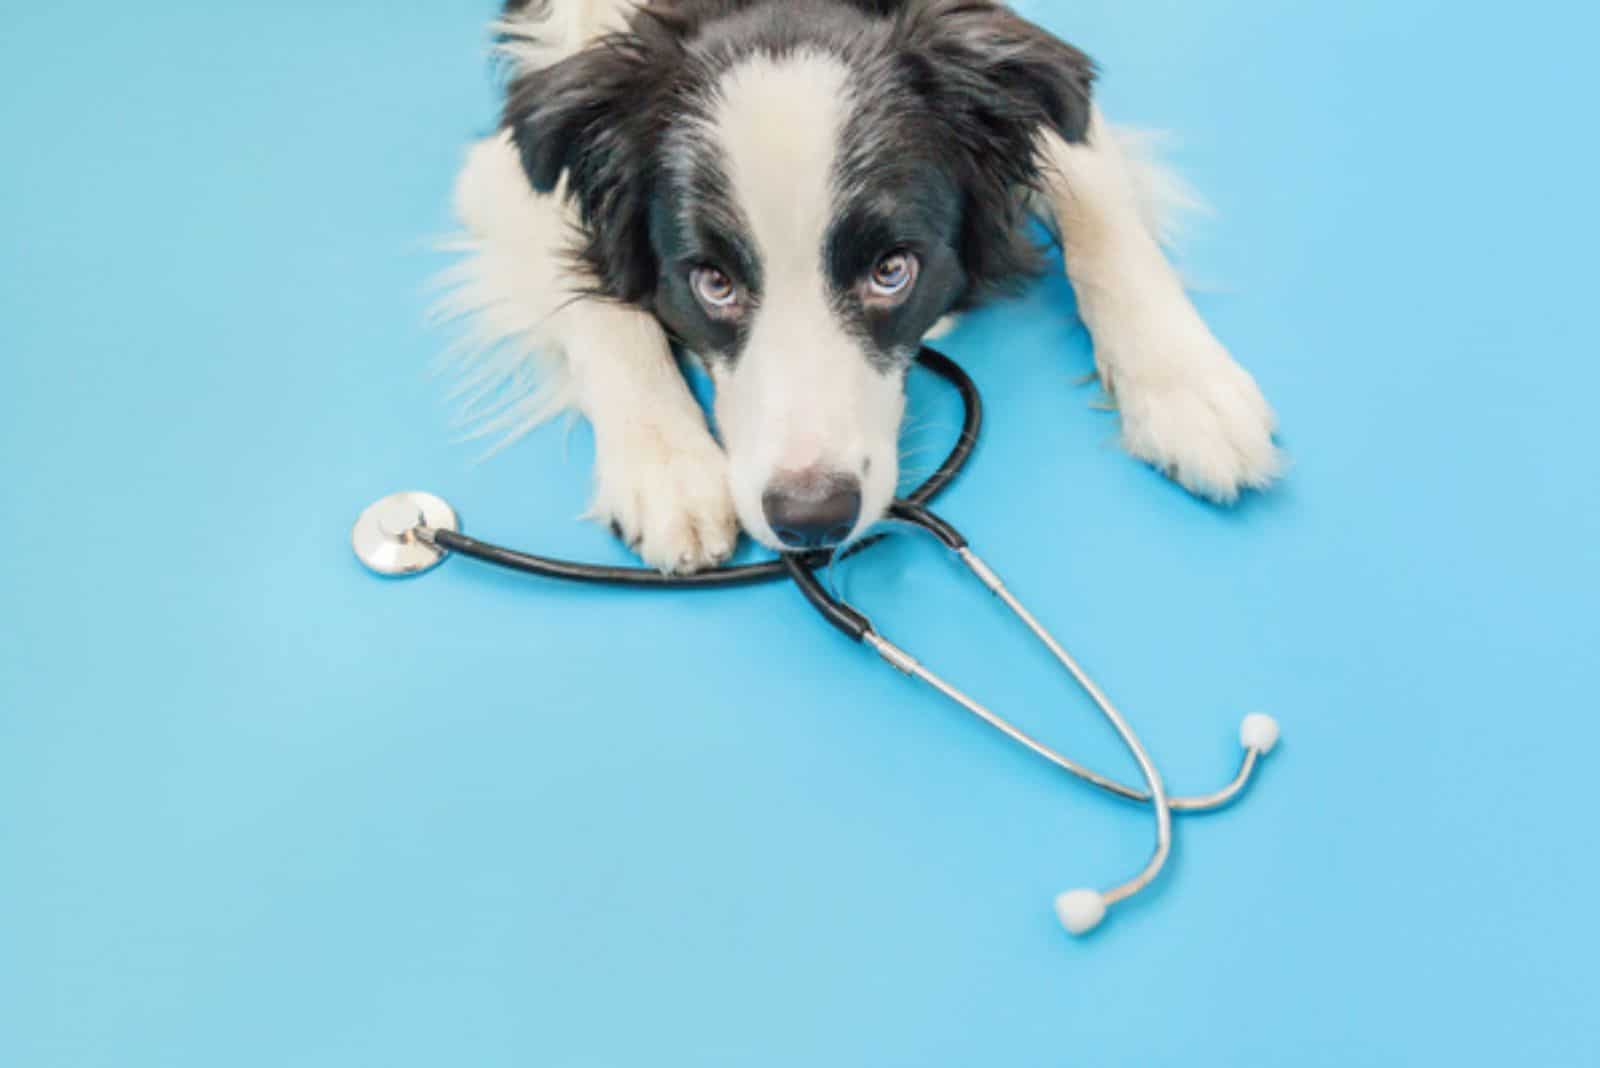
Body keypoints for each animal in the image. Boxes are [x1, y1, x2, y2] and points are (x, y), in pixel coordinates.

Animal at [444, 0, 1280, 572]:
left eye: (891, 272)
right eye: (712, 282)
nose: (812, 518)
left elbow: (1098, 200)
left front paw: (1187, 389)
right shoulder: (509, 156)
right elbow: (596, 304)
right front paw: (667, 466)